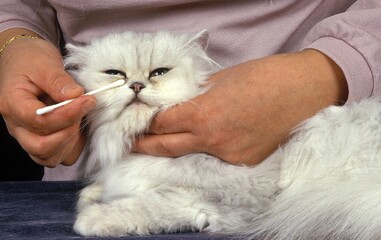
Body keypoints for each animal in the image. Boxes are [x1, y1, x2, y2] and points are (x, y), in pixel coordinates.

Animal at [63, 31, 380, 239]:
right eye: (115, 74)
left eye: (159, 73)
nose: (137, 86)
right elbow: (102, 190)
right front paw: (91, 196)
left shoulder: (239, 194)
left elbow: (149, 204)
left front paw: (92, 217)